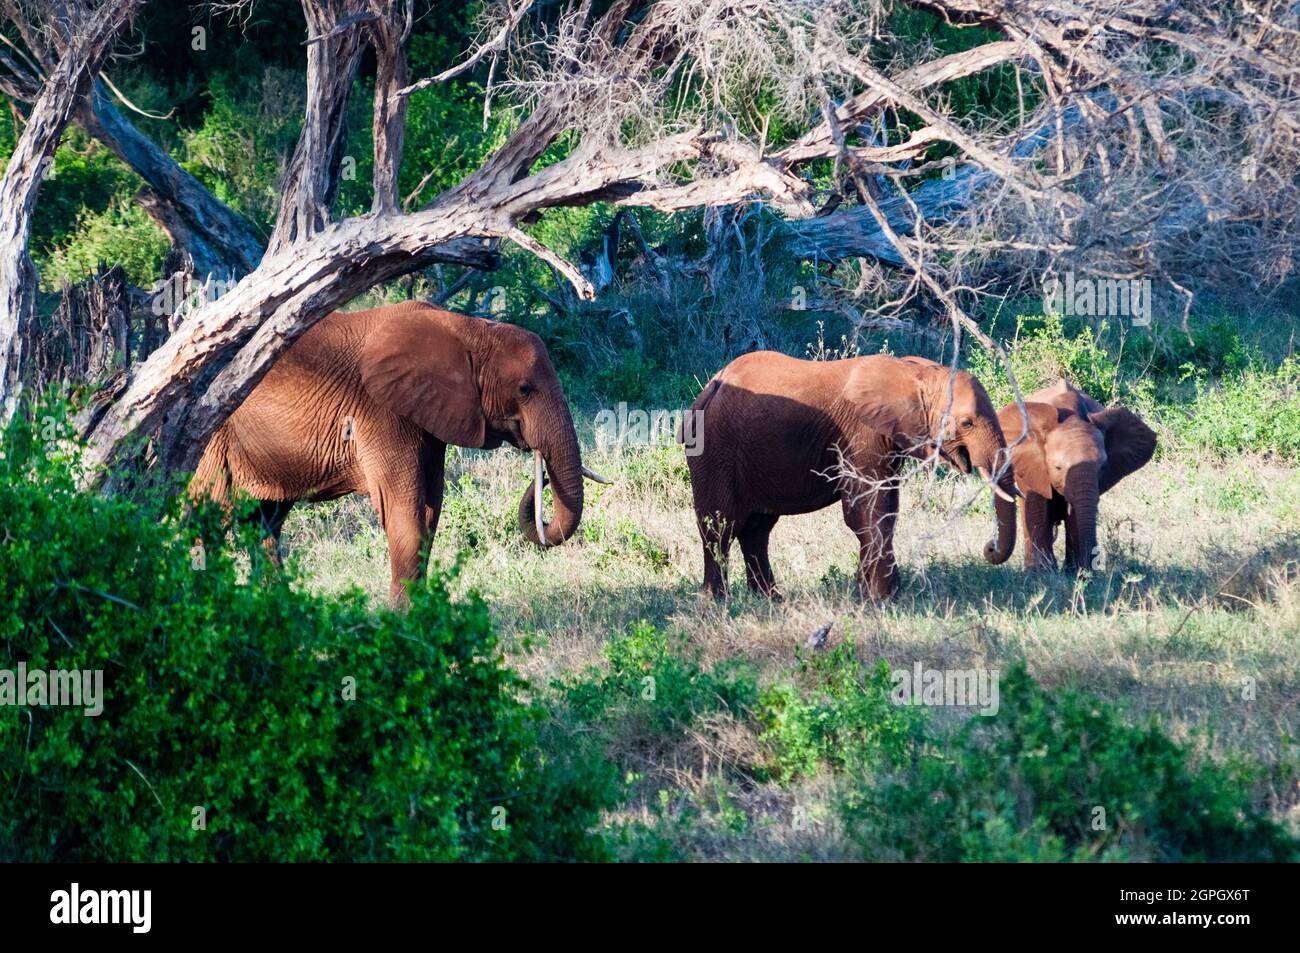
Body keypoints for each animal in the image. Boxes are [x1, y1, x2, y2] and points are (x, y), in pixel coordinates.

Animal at [189, 301, 605, 605]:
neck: (467, 329)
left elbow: (431, 508)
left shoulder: (431, 416)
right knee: (207, 515)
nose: (542, 471)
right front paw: (401, 621)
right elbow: (404, 510)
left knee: (263, 520)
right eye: (524, 390)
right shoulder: (381, 412)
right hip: (210, 436)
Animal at [676, 353, 1019, 598]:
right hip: (714, 448)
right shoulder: (860, 434)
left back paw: (771, 599)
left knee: (757, 529)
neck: (915, 373)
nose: (989, 548)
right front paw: (880, 599)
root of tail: (712, 385)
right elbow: (867, 508)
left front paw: (873, 594)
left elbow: (883, 509)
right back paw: (716, 601)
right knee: (720, 526)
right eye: (967, 423)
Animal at [993, 379, 1159, 572]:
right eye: (1057, 467)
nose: (1094, 564)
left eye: (1103, 467)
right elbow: (1038, 507)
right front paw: (1042, 573)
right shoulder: (1033, 464)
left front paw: (1076, 572)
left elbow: (1075, 514)